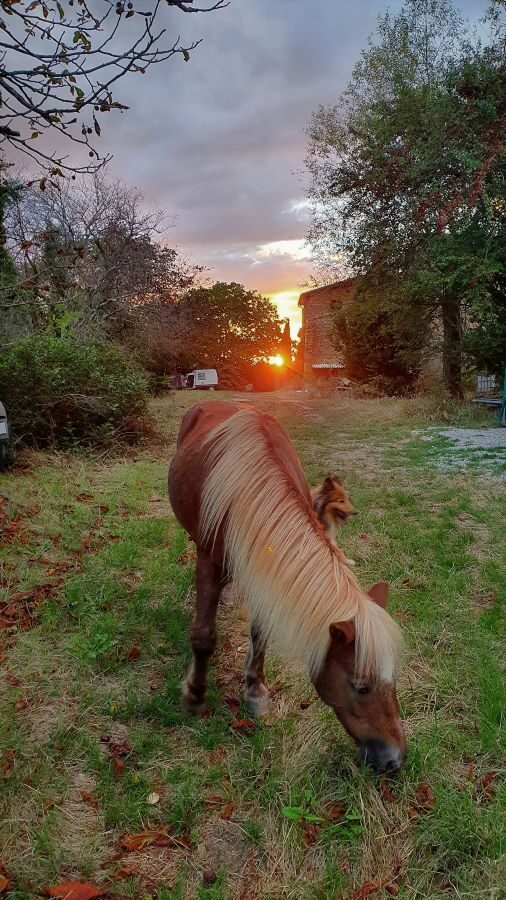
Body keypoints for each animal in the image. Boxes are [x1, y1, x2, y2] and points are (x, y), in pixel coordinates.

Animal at [168, 400, 406, 772]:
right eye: (361, 687)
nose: (395, 760)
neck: (248, 493)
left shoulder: (264, 571)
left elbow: (261, 634)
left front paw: (255, 691)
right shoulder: (209, 562)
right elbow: (203, 636)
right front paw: (194, 695)